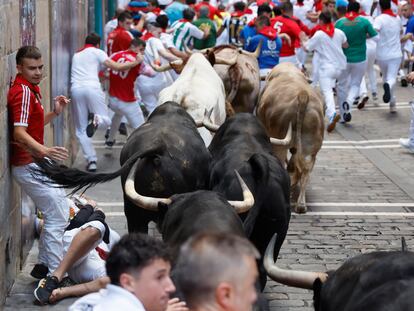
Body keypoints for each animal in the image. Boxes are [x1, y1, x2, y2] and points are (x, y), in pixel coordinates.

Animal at [258, 63, 326, 214]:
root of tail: (302, 95)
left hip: (279, 143)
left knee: (282, 162)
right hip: (310, 147)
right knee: (306, 170)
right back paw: (300, 205)